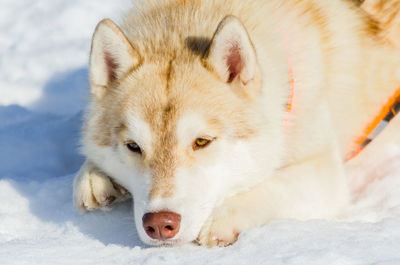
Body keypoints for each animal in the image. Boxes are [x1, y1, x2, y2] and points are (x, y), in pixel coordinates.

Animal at [72, 0, 400, 246]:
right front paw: (94, 175)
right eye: (133, 146)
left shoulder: (324, 174)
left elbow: (273, 185)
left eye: (202, 141)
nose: (160, 224)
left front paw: (224, 216)